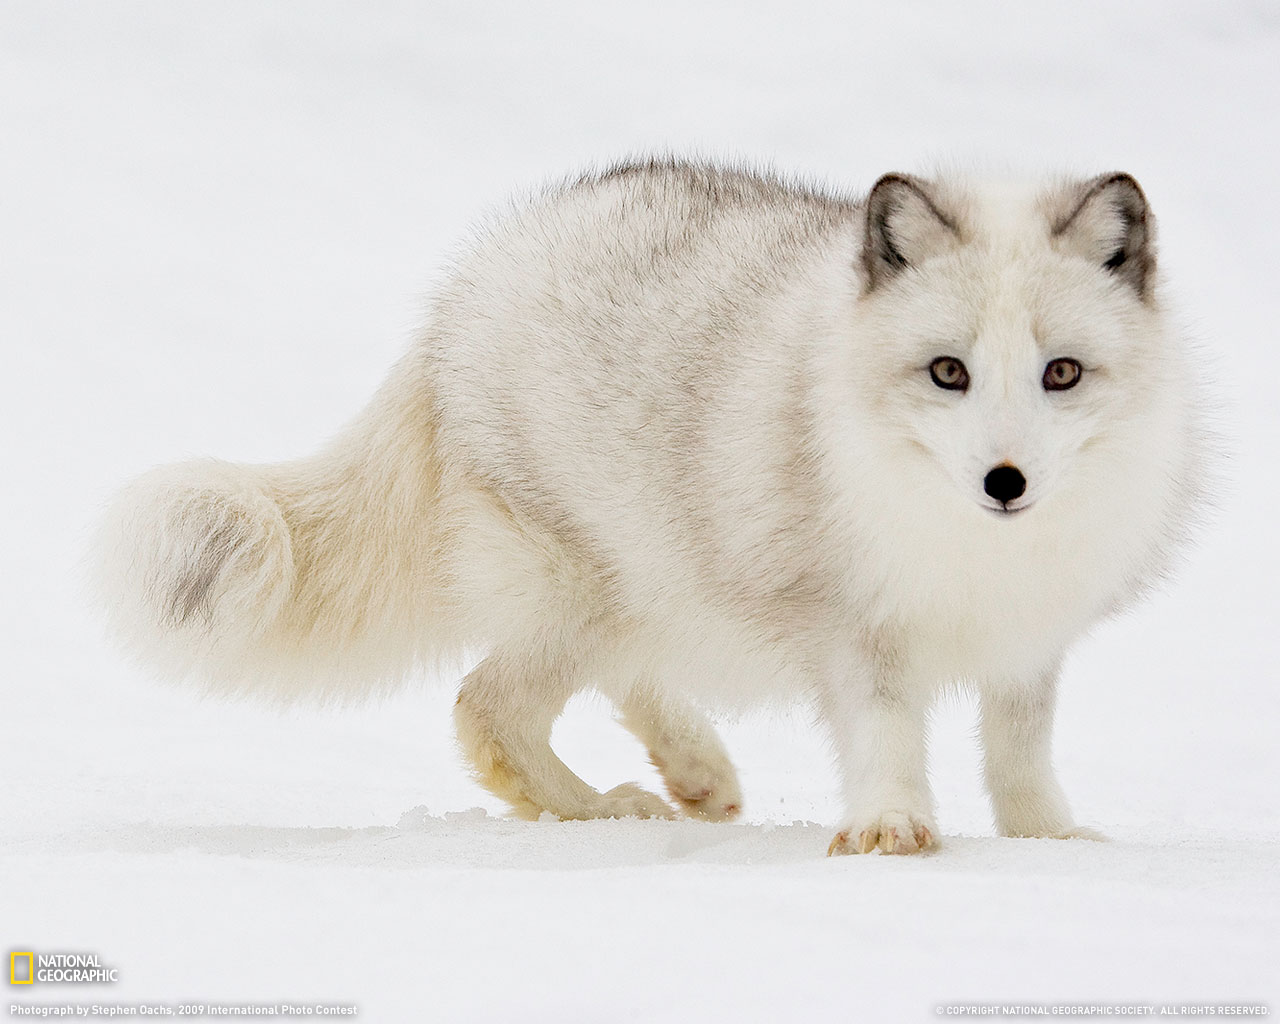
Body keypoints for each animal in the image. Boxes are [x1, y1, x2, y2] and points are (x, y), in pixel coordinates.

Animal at [97, 160, 1198, 855]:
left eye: (1061, 372)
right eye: (947, 371)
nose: (1005, 482)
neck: (969, 547)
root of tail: (464, 287)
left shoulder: (1029, 637)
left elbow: (1019, 751)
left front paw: (1048, 840)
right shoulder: (854, 627)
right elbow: (887, 734)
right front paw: (891, 830)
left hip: (646, 583)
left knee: (614, 679)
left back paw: (695, 772)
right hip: (585, 588)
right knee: (485, 709)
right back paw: (604, 812)